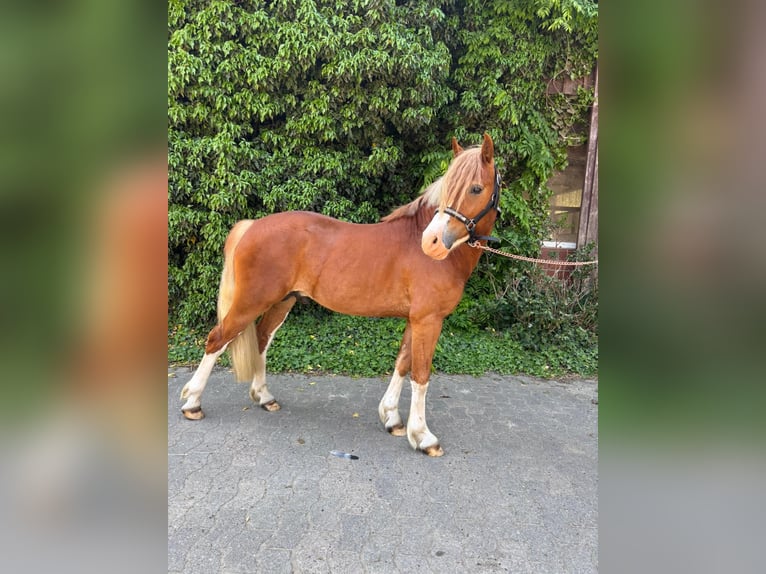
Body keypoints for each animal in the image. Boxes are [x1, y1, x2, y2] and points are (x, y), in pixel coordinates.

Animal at [180, 133, 502, 456]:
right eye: (448, 187)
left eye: (476, 188)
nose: (432, 242)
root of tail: (252, 226)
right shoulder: (429, 320)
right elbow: (420, 375)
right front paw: (423, 437)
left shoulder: (416, 319)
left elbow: (402, 364)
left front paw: (392, 419)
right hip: (251, 302)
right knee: (217, 339)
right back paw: (193, 403)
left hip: (283, 301)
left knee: (261, 339)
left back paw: (264, 397)